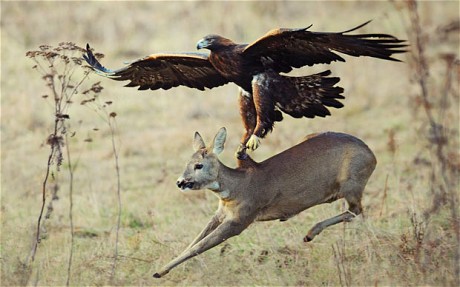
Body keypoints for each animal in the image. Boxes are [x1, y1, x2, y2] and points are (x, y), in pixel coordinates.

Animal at [153, 128, 376, 280]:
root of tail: (372, 156)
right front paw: (164, 268)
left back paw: (310, 233)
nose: (180, 182)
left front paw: (159, 272)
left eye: (198, 165)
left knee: (356, 210)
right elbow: (195, 239)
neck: (237, 187)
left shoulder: (242, 218)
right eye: (186, 163)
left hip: (351, 183)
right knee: (355, 211)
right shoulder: (221, 212)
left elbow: (200, 245)